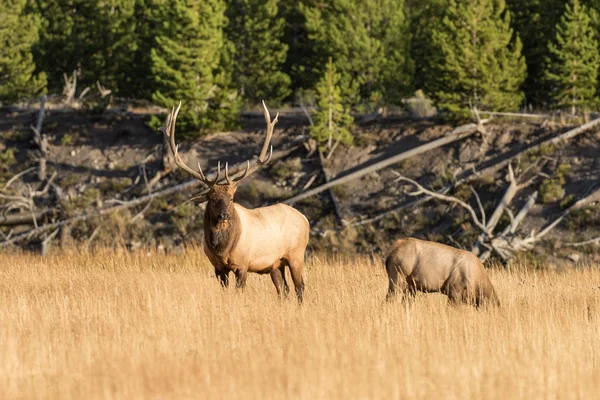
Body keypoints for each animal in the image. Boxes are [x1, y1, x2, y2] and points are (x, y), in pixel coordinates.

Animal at [159, 101, 310, 304]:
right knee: (283, 289)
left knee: (299, 287)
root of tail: (305, 218)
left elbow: (240, 292)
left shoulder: (242, 264)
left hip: (296, 254)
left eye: (231, 198)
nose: (223, 215)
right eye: (212, 198)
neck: (222, 249)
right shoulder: (218, 268)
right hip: (275, 263)